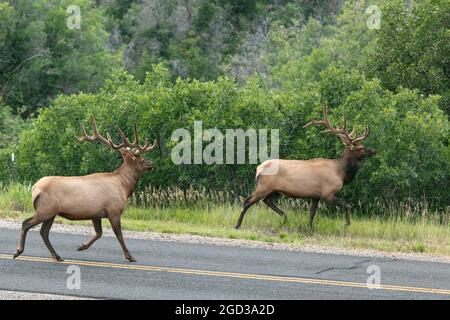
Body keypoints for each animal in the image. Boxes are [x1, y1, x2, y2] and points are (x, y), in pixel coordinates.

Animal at [13, 119, 157, 262]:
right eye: (141, 159)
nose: (151, 164)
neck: (124, 187)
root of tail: (34, 188)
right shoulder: (114, 211)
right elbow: (119, 235)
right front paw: (130, 256)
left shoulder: (96, 213)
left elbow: (99, 233)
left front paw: (81, 246)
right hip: (45, 209)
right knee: (26, 224)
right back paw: (18, 251)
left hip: (51, 212)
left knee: (43, 232)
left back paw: (57, 256)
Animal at [236, 107, 376, 230]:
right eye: (360, 148)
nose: (374, 150)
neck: (341, 174)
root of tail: (258, 169)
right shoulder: (327, 192)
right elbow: (346, 205)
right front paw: (346, 224)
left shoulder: (315, 195)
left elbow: (312, 214)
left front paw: (309, 228)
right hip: (263, 187)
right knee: (247, 201)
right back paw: (237, 225)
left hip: (275, 190)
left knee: (267, 201)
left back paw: (285, 217)